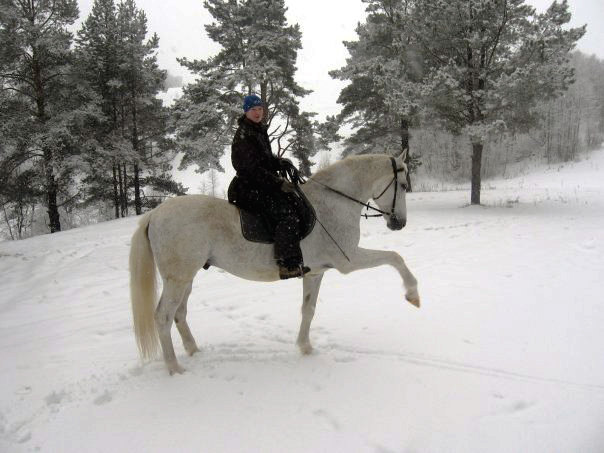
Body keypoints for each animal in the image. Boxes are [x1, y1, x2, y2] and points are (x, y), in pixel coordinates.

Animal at [129, 154, 420, 372]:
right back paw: (174, 368)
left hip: (185, 278)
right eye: (404, 186)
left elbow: (308, 309)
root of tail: (155, 214)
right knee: (163, 317)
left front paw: (305, 347)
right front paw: (413, 294)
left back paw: (193, 351)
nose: (400, 223)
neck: (333, 203)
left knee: (179, 314)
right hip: (177, 280)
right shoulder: (349, 260)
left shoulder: (315, 274)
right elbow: (395, 257)